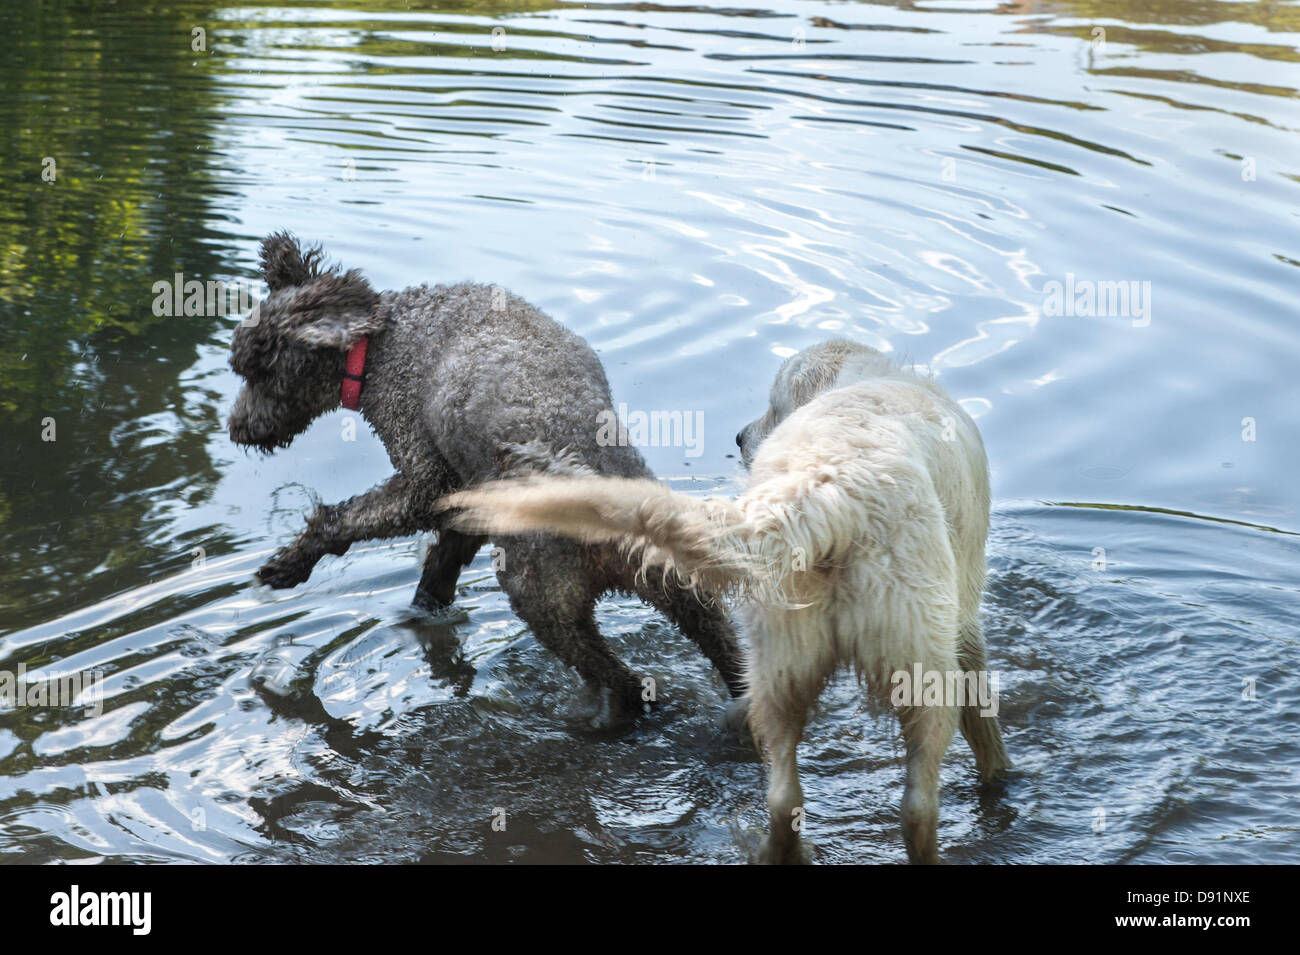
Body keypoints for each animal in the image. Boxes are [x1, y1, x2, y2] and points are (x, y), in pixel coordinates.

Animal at [441, 340, 1008, 862]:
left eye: (774, 406)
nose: (737, 436)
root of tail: (827, 491)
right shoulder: (965, 613)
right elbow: (983, 714)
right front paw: (1000, 774)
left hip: (781, 657)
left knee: (783, 792)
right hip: (920, 667)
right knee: (917, 804)